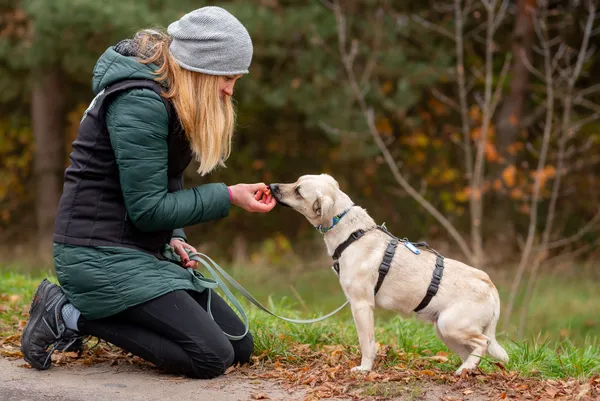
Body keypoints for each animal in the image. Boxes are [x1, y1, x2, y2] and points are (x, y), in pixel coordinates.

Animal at [270, 173, 508, 374]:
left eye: (298, 191)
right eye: (296, 181)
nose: (271, 186)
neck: (352, 234)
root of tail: (489, 284)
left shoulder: (361, 306)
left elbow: (367, 343)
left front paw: (365, 369)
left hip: (451, 326)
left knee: (483, 342)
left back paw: (466, 368)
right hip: (444, 331)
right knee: (472, 352)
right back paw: (466, 370)